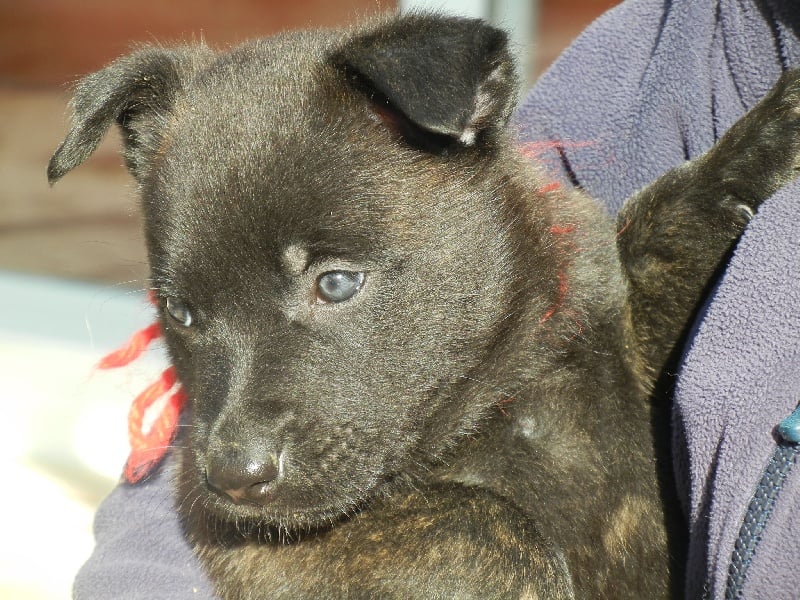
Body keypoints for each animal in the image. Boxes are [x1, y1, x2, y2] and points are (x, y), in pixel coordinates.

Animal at [48, 13, 800, 599]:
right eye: (180, 313)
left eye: (335, 283)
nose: (233, 476)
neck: (503, 390)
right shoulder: (253, 543)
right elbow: (481, 524)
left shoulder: (624, 363)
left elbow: (663, 231)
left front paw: (770, 134)